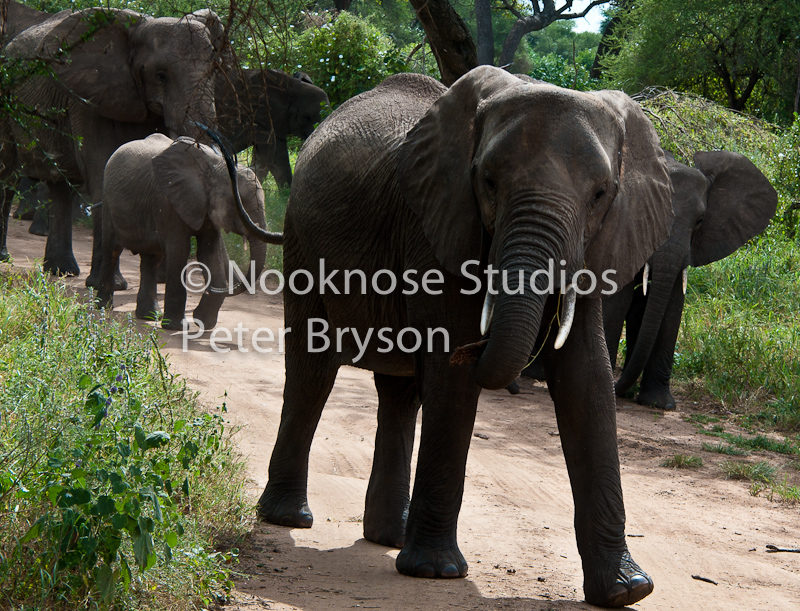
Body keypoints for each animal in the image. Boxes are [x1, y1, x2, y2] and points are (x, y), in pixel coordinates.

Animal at [1, 2, 226, 287]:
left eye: (216, 72)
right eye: (161, 76)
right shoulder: (87, 96)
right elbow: (104, 174)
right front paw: (110, 285)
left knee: (62, 188)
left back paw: (62, 271)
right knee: (7, 175)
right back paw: (8, 257)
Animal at [97, 133, 283, 330]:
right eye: (237, 204)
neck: (215, 168)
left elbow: (209, 253)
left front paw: (203, 322)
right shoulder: (168, 201)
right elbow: (180, 251)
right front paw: (176, 327)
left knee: (151, 259)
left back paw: (150, 315)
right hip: (108, 200)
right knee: (112, 250)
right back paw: (103, 307)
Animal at [235, 66, 675, 607]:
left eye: (601, 194)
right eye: (487, 181)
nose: (484, 350)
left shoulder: (598, 243)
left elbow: (585, 378)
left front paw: (626, 591)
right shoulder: (437, 226)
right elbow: (449, 374)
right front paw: (435, 572)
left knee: (399, 393)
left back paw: (389, 536)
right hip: (302, 240)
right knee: (313, 374)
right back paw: (289, 518)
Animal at [603, 151, 777, 409]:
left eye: (700, 221)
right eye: (652, 213)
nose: (617, 388)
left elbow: (672, 307)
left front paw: (660, 404)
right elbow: (617, 301)